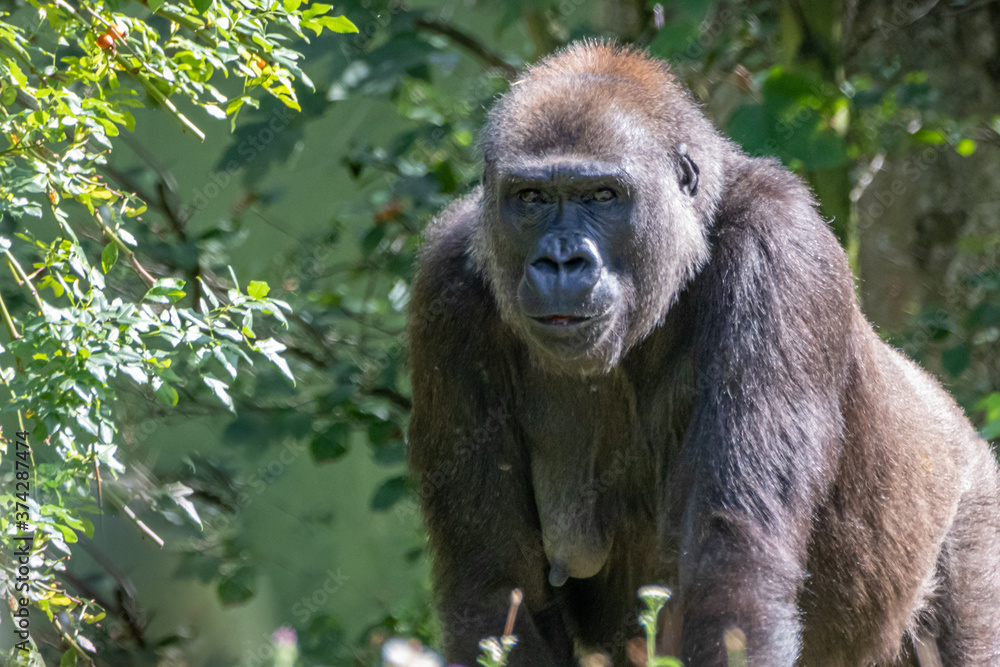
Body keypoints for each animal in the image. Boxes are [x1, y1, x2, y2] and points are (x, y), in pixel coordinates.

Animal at [406, 41, 1000, 667]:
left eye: (603, 195)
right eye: (531, 198)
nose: (561, 262)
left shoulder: (777, 247)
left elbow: (732, 566)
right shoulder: (446, 286)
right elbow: (497, 585)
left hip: (976, 513)